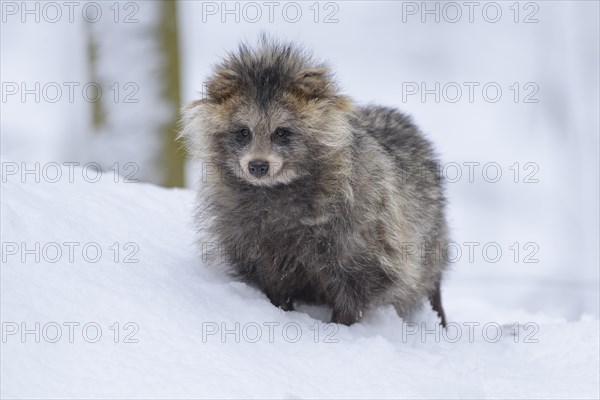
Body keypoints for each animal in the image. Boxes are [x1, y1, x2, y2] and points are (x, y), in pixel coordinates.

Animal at [184, 37, 450, 326]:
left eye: (282, 132)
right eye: (244, 132)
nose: (258, 166)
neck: (276, 190)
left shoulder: (365, 226)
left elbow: (360, 283)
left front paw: (341, 325)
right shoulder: (246, 232)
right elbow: (271, 278)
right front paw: (280, 308)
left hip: (429, 237)